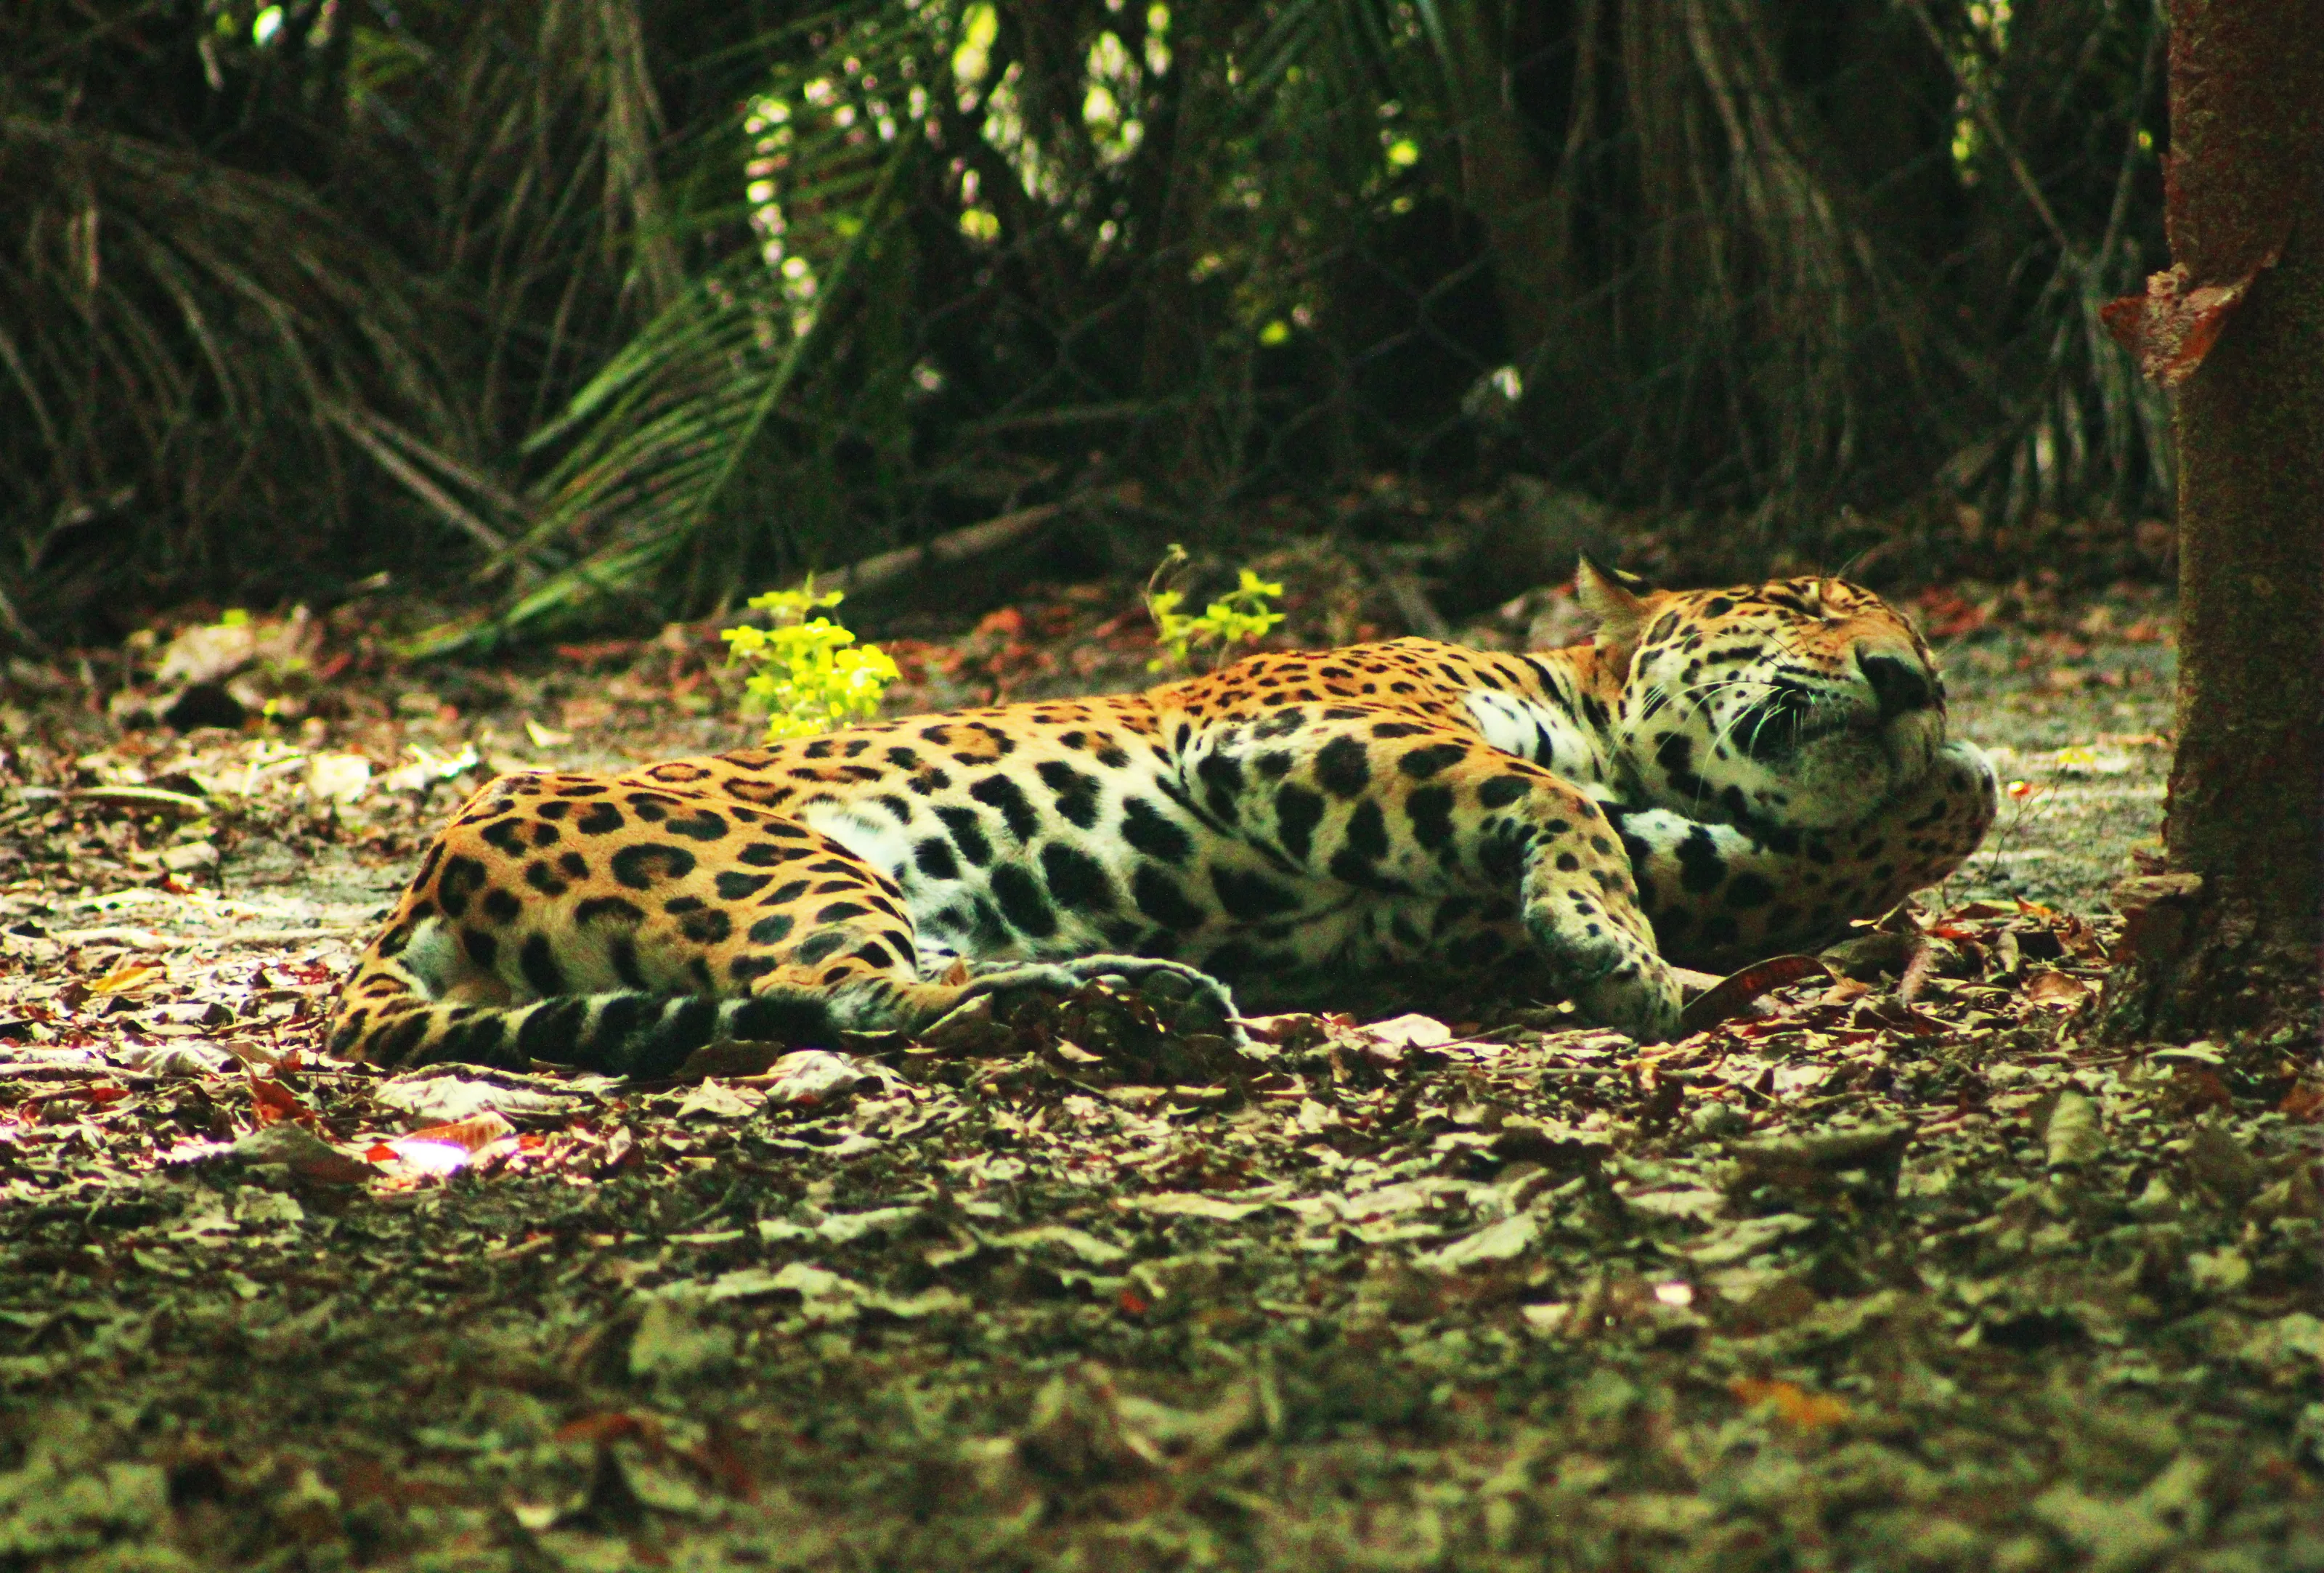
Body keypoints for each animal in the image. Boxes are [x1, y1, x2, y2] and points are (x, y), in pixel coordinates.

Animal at [327, 559, 1997, 1076]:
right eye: (1806, 602)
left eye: (1916, 636)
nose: (1906, 677)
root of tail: (415, 885)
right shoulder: (1301, 727)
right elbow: (1552, 813)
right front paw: (1626, 958)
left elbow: (1745, 856)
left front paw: (1948, 781)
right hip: (787, 855)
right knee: (853, 999)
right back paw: (1121, 999)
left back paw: (1140, 994)